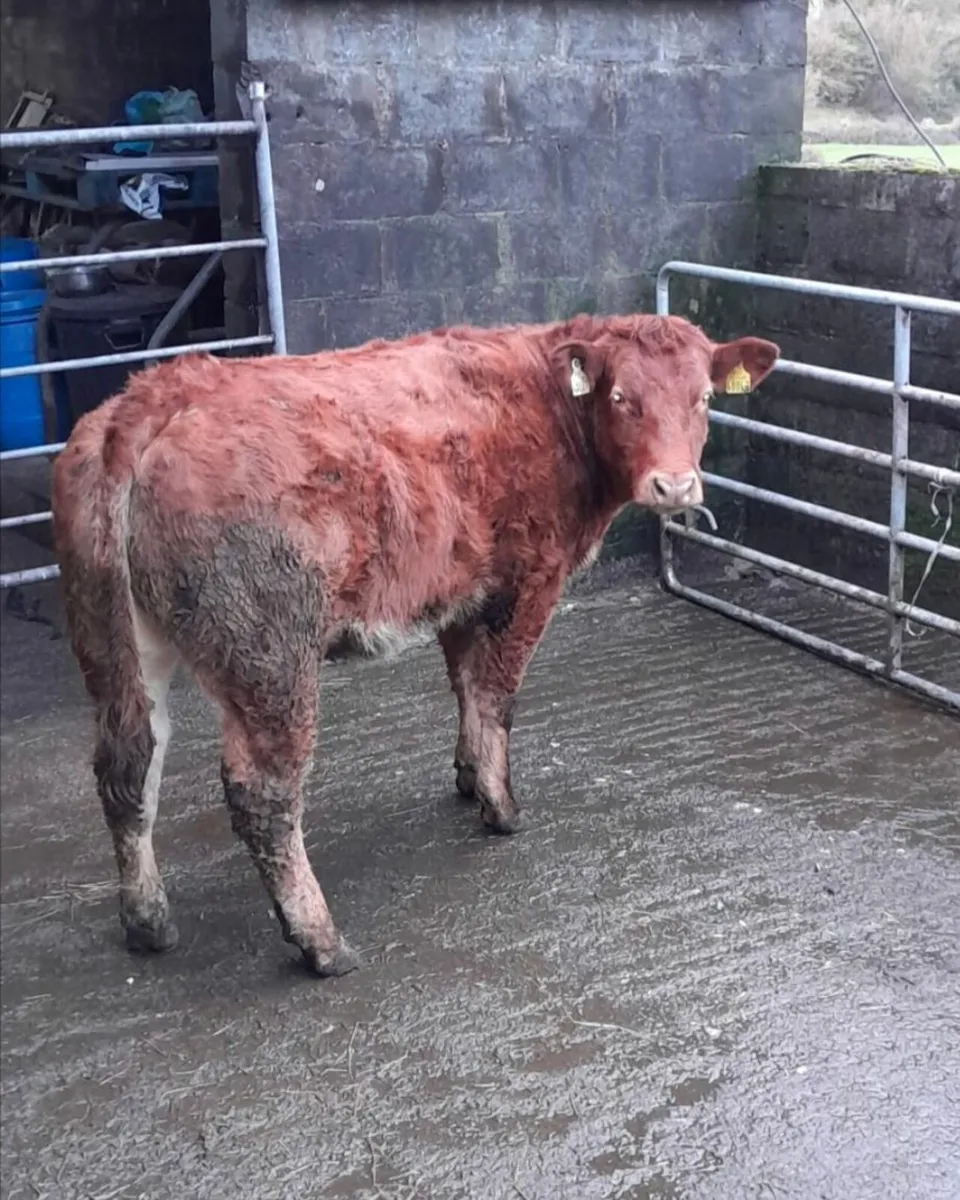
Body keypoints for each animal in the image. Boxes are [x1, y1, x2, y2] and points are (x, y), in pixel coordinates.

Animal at [51, 313, 779, 978]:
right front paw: (500, 807)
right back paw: (320, 941)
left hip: (112, 641)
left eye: (703, 398)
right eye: (622, 397)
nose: (674, 485)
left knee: (128, 766)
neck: (547, 403)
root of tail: (148, 400)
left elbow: (465, 687)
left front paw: (467, 775)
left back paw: (147, 920)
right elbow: (496, 695)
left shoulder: (463, 589)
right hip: (269, 654)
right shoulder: (528, 582)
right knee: (263, 794)